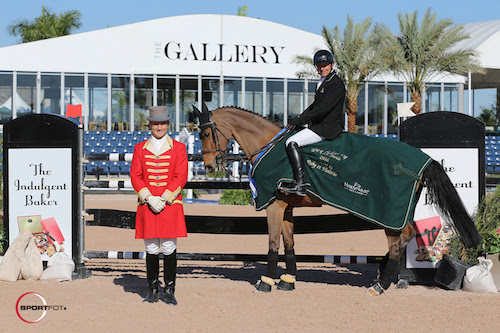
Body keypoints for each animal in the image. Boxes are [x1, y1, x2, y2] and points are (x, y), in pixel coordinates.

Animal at [193, 104, 482, 294]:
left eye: (205, 134)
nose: (208, 166)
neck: (268, 145)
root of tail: (424, 158)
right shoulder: (287, 206)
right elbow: (289, 243)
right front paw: (287, 281)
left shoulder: (274, 206)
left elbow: (273, 244)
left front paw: (266, 282)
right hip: (401, 210)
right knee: (405, 236)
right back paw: (382, 277)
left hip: (388, 211)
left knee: (398, 240)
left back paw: (380, 284)